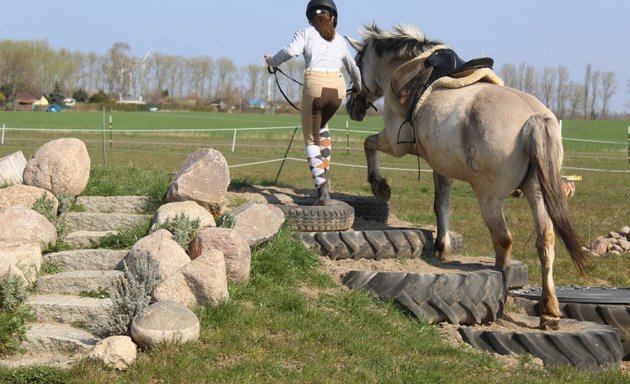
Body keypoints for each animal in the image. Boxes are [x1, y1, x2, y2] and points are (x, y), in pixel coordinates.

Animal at [344, 24, 592, 330]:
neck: (408, 70)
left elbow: (368, 144)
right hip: (537, 194)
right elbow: (442, 203)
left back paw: (501, 287)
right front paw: (442, 246)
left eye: (357, 62)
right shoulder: (440, 164)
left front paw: (380, 186)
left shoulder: (394, 143)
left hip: (490, 199)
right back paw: (549, 312)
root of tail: (534, 119)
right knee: (545, 241)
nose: (353, 105)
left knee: (503, 240)